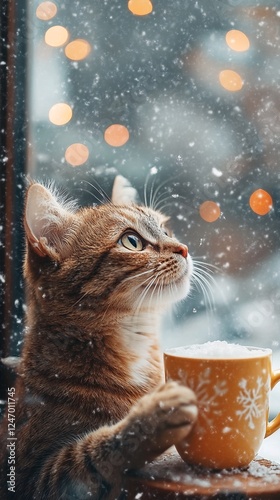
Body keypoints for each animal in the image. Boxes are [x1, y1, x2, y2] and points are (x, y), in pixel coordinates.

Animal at [0, 176, 197, 500]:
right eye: (132, 241)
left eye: (165, 230)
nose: (183, 248)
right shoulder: (32, 477)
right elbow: (89, 453)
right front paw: (150, 418)